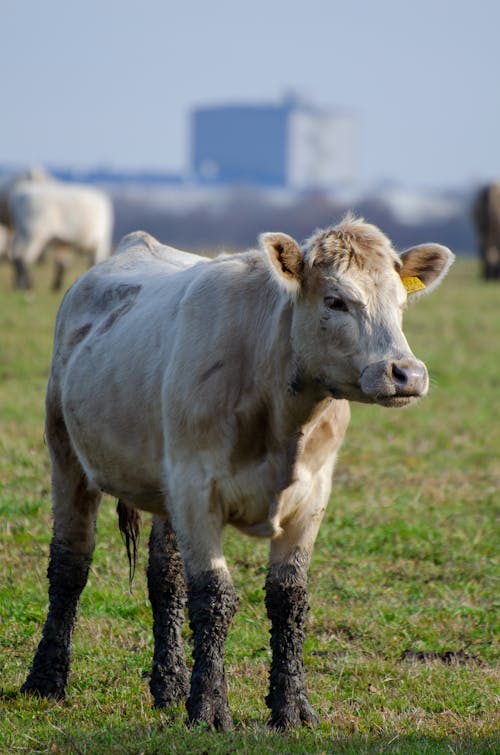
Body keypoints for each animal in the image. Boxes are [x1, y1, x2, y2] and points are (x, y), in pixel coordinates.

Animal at [22, 217, 454, 732]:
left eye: (401, 303)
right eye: (335, 300)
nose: (407, 374)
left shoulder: (311, 496)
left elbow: (288, 598)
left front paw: (291, 708)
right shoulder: (196, 490)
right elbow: (215, 597)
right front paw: (209, 708)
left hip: (163, 482)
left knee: (164, 577)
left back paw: (170, 685)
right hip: (65, 451)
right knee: (71, 562)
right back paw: (46, 680)